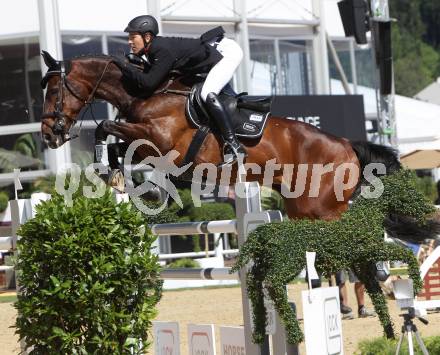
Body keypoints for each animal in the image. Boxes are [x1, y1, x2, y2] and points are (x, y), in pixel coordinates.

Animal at [39, 51, 400, 221]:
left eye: (54, 90)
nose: (48, 135)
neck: (146, 91)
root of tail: (348, 145)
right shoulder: (144, 142)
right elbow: (120, 147)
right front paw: (118, 176)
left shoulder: (162, 141)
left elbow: (105, 128)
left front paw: (128, 178)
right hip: (300, 207)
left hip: (323, 210)